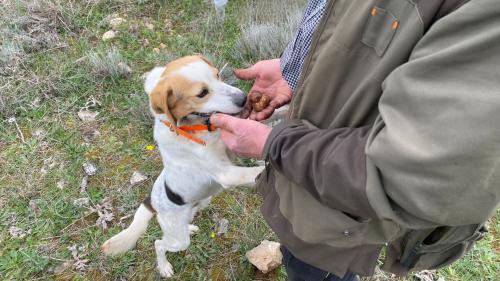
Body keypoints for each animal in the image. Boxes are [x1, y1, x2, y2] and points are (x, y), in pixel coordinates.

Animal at [102, 55, 266, 278]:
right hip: (178, 240)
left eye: (218, 75)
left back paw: (190, 228)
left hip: (198, 207)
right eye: (202, 93)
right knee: (159, 243)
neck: (195, 128)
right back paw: (164, 266)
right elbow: (252, 172)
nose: (244, 98)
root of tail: (152, 201)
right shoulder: (226, 173)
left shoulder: (230, 152)